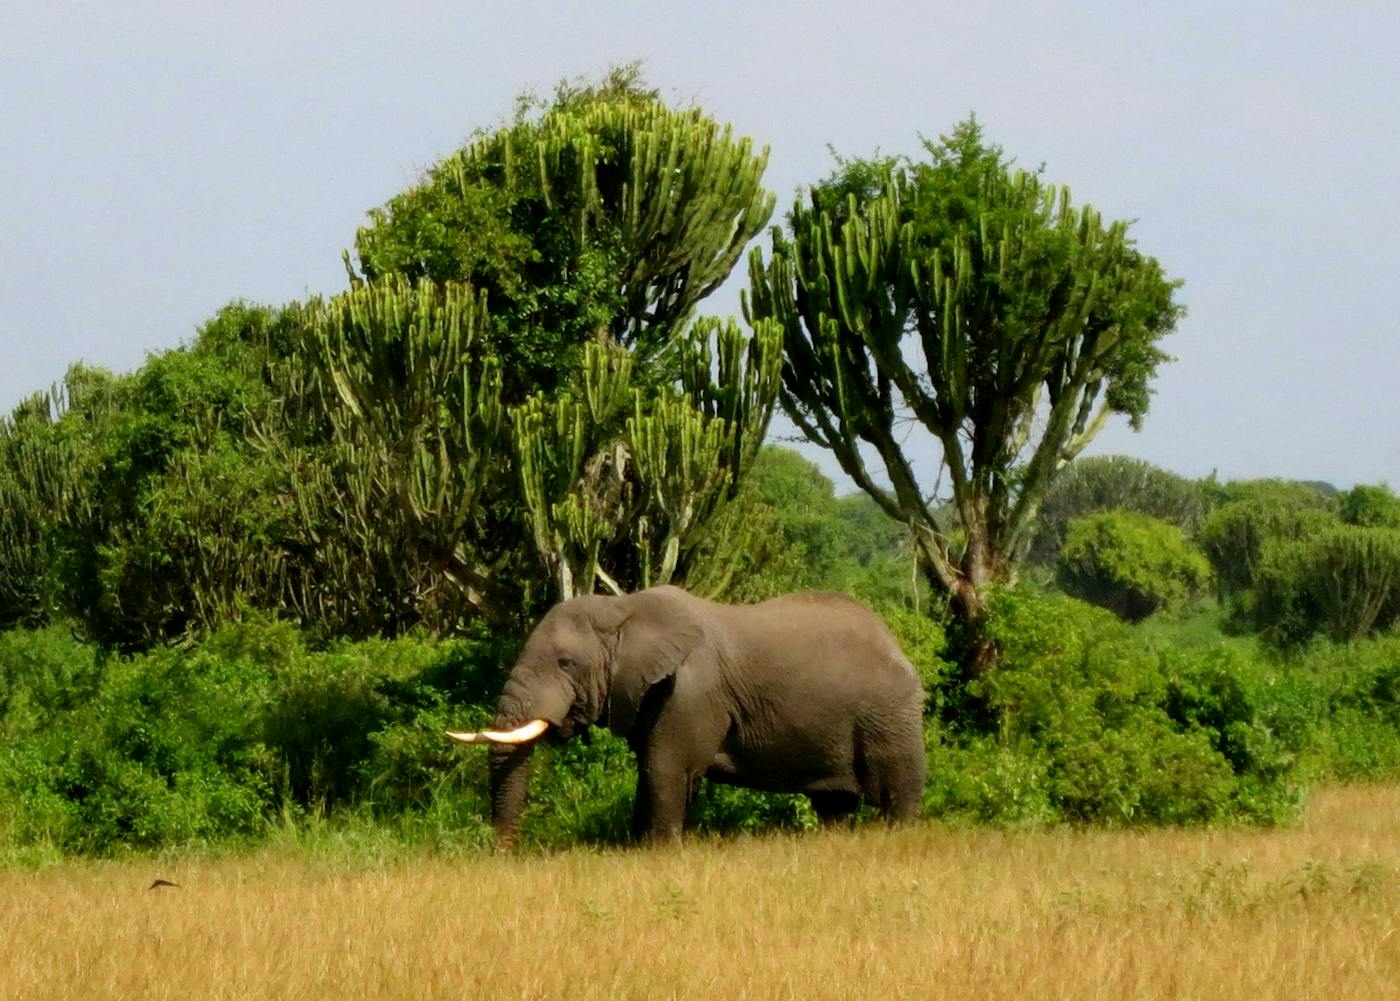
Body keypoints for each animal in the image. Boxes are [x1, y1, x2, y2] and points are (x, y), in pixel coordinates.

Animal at [450, 588, 929, 845]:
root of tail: (896, 644)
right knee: (834, 804)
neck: (622, 608)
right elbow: (649, 770)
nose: (502, 852)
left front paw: (660, 852)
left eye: (566, 663)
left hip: (890, 716)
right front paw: (639, 848)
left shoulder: (691, 690)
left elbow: (665, 767)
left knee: (895, 794)